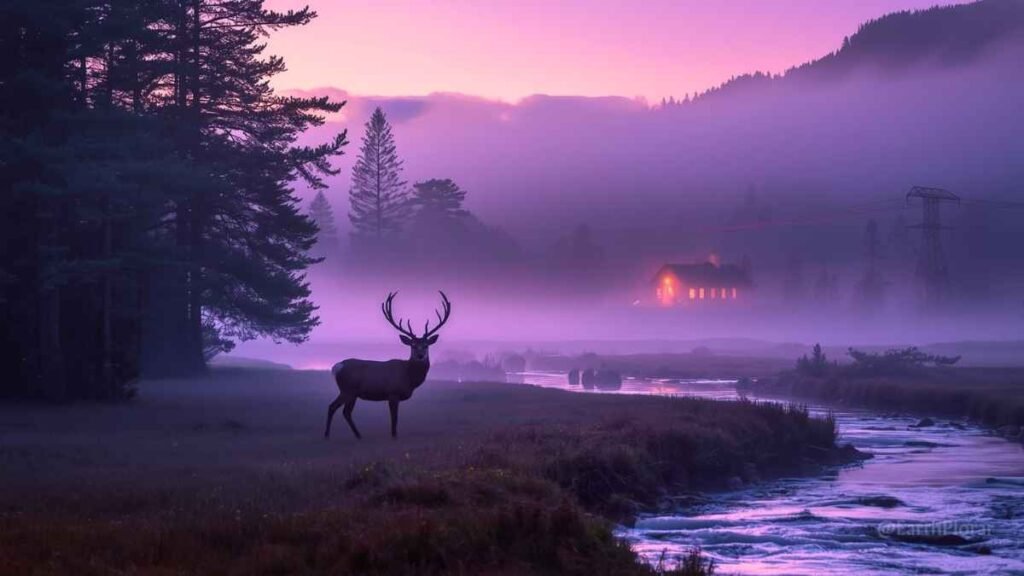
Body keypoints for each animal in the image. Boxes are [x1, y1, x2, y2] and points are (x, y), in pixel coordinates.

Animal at [325, 291, 451, 440]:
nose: (420, 355)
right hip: (347, 389)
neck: (408, 377)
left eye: (426, 345)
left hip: (351, 393)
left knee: (345, 412)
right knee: (333, 407)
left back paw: (358, 435)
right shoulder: (393, 393)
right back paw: (328, 435)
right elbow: (394, 418)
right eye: (413, 345)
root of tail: (338, 366)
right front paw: (394, 436)